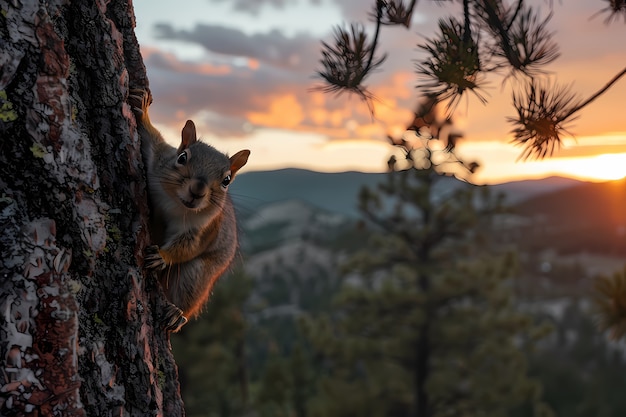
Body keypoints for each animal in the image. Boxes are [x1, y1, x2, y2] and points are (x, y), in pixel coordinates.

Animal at [129, 89, 249, 330]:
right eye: (182, 157)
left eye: (227, 180)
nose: (197, 190)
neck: (176, 204)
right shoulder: (158, 158)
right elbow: (151, 138)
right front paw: (143, 112)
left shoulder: (204, 229)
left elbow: (188, 247)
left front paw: (162, 256)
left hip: (197, 276)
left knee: (188, 298)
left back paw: (177, 313)